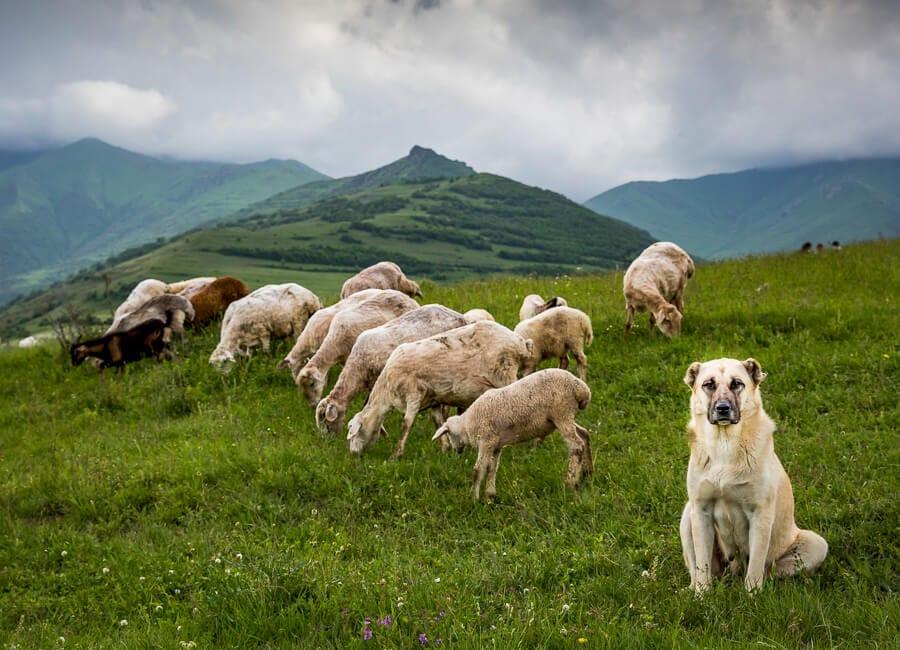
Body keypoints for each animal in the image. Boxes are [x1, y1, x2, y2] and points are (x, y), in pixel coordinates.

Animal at [346, 321, 534, 459]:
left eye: (352, 432)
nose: (353, 455)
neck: (386, 390)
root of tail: (520, 343)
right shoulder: (434, 399)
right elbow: (438, 422)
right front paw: (444, 450)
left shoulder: (414, 393)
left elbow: (406, 424)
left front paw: (396, 455)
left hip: (505, 372)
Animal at [432, 369, 592, 500]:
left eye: (450, 434)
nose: (457, 451)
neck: (466, 424)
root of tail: (581, 388)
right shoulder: (496, 445)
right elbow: (492, 468)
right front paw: (490, 495)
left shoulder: (486, 441)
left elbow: (478, 469)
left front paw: (474, 499)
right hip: (563, 417)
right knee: (584, 434)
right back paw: (587, 472)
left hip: (561, 412)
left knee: (576, 445)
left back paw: (571, 482)